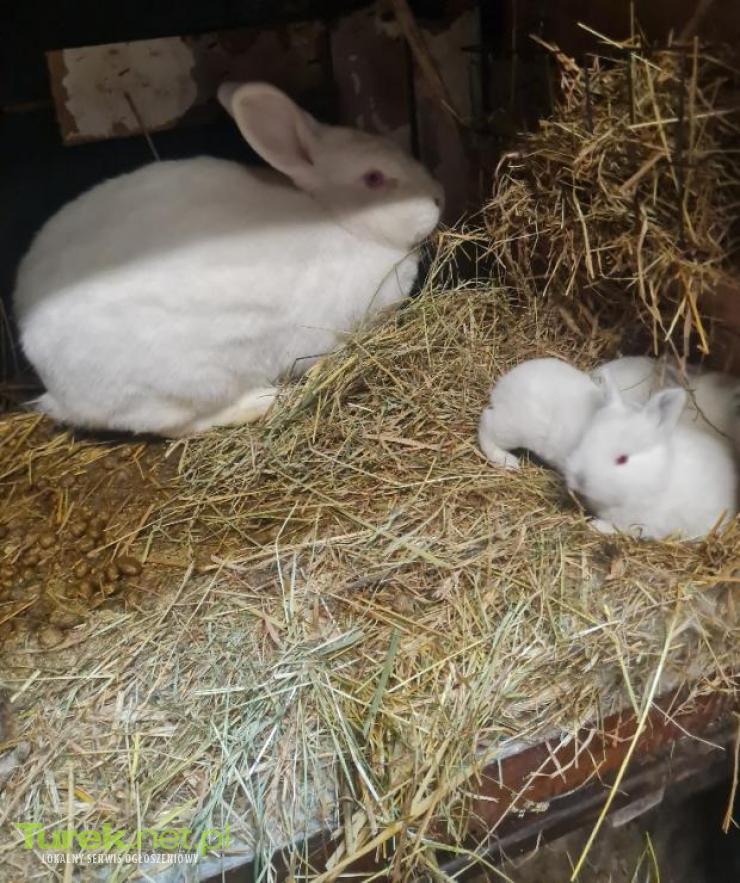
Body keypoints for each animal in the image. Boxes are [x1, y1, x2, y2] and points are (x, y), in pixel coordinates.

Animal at [13, 82, 444, 437]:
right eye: (374, 178)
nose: (438, 199)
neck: (341, 223)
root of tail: (49, 374)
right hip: (186, 384)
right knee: (178, 425)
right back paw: (262, 402)